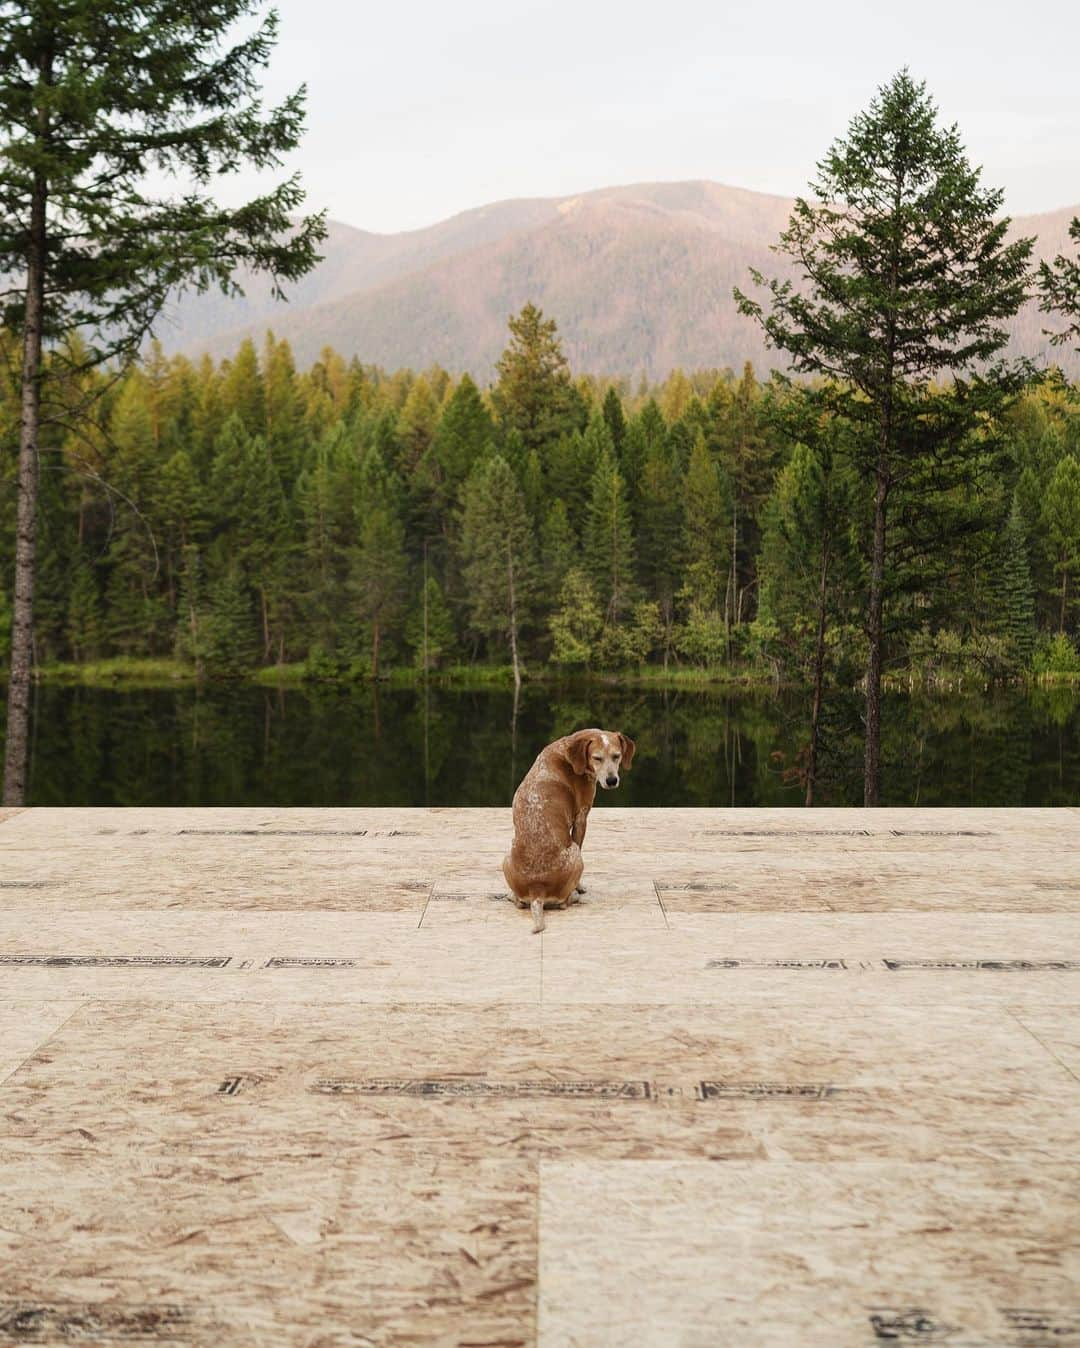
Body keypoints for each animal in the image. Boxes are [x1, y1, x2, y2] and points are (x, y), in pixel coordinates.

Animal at [504, 727, 636, 938]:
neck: (569, 753)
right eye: (597, 758)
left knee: (519, 901)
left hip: (506, 855)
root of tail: (537, 890)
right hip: (574, 853)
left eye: (617, 756)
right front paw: (580, 887)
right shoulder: (582, 817)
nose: (611, 780)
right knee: (564, 902)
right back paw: (575, 895)